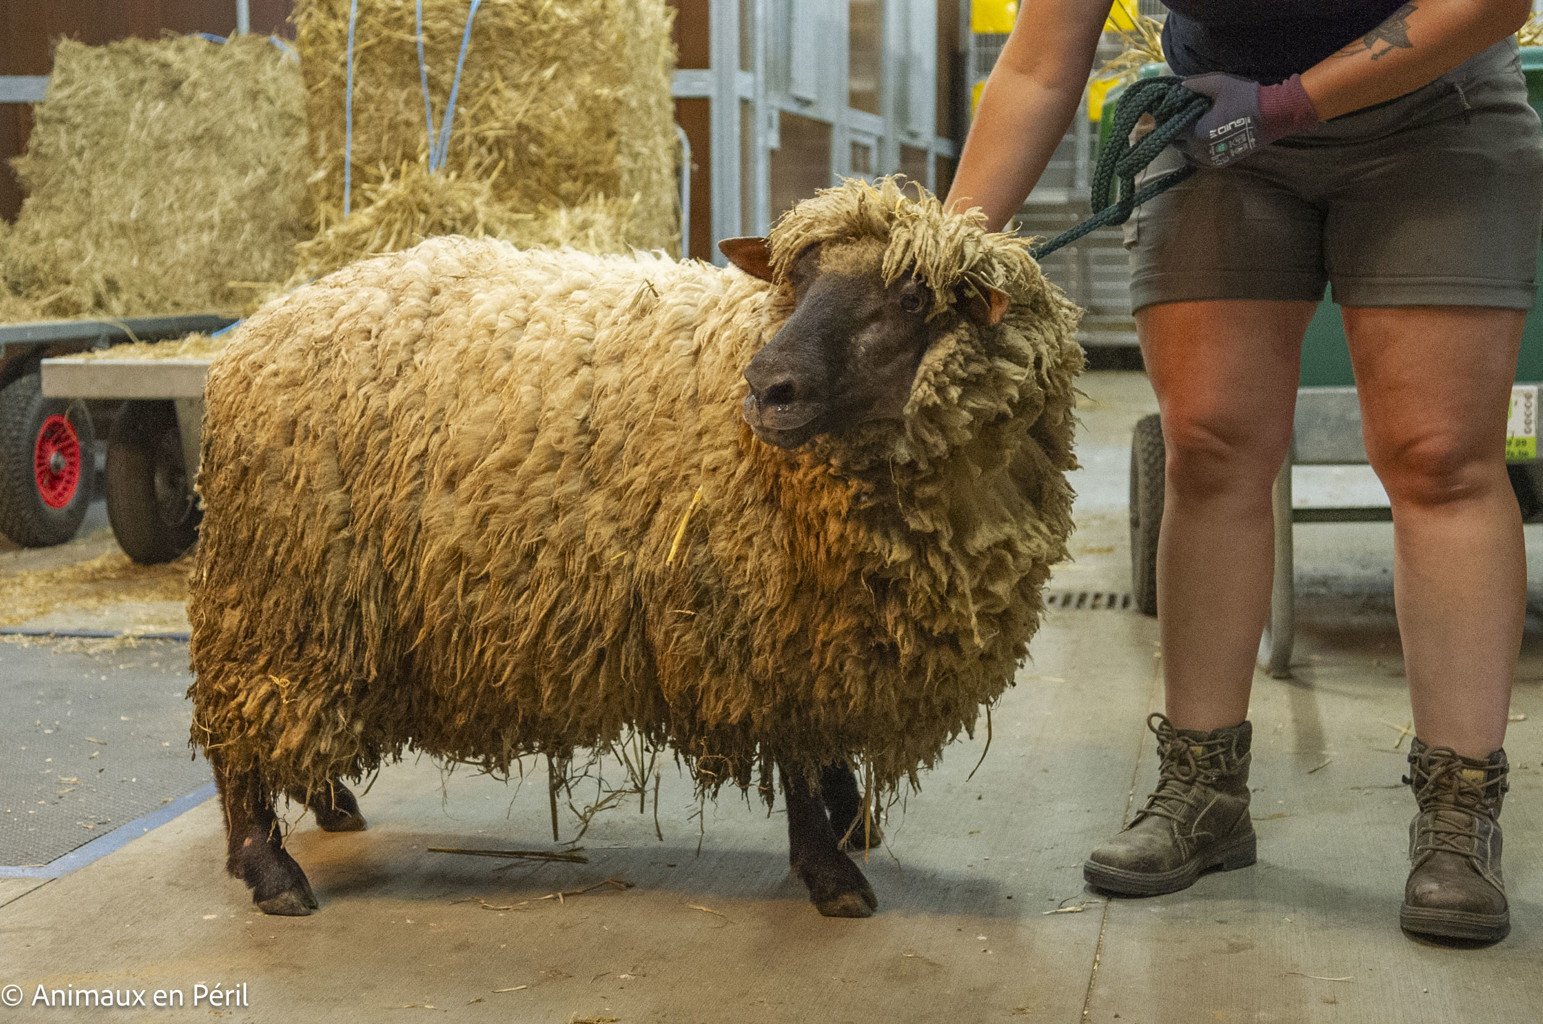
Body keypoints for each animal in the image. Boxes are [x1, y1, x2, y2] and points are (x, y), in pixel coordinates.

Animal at [187, 177, 1083, 919]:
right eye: (793, 282)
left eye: (910, 295)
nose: (766, 389)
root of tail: (255, 332)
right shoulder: (761, 626)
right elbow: (798, 757)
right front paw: (830, 875)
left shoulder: (823, 630)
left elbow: (826, 745)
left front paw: (849, 817)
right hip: (278, 591)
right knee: (236, 737)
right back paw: (267, 869)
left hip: (316, 612)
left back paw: (330, 802)